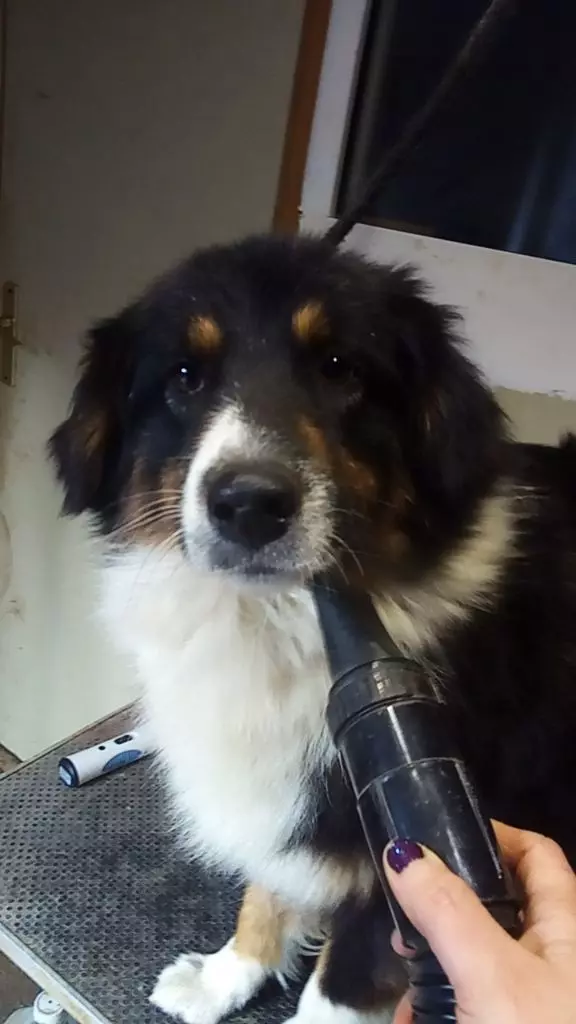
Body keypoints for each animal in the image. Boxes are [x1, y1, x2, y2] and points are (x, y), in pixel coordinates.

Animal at [49, 234, 576, 1024]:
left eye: (338, 367)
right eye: (185, 377)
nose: (249, 504)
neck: (274, 624)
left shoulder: (399, 867)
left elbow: (338, 990)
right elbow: (265, 888)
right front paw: (227, 974)